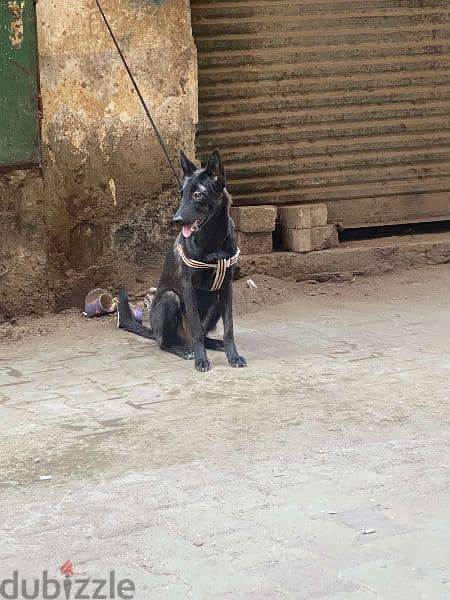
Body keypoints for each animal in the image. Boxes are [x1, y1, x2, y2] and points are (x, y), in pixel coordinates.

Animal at [118, 148, 246, 370]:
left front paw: (233, 356)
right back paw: (185, 350)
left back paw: (214, 343)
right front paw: (201, 360)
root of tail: (154, 330)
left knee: (204, 334)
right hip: (170, 299)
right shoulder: (188, 287)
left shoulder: (226, 288)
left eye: (197, 194)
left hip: (215, 301)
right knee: (167, 342)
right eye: (181, 194)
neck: (212, 240)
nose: (175, 220)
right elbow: (196, 329)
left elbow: (229, 328)